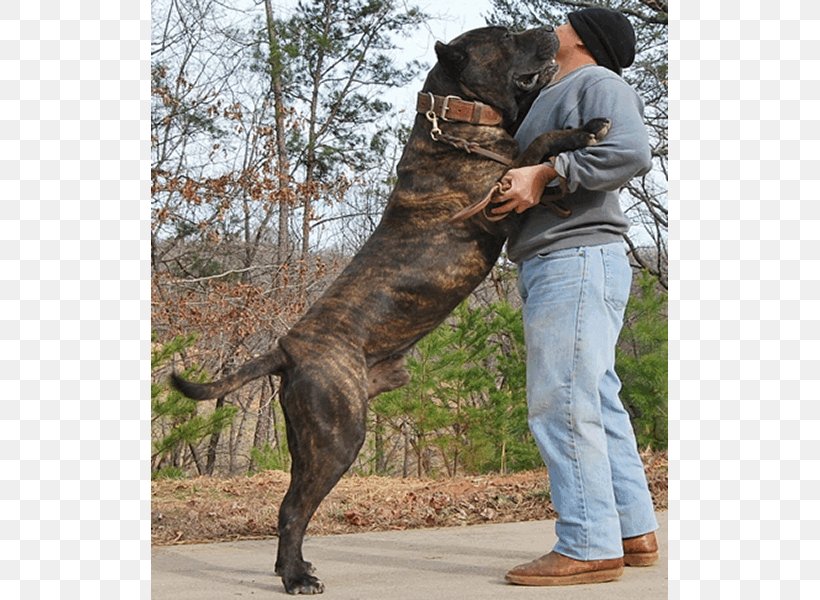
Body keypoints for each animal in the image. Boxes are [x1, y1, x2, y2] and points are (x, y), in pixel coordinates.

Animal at [171, 25, 608, 592]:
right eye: (507, 37)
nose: (547, 28)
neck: (458, 121)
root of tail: (287, 349)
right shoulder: (496, 199)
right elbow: (536, 146)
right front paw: (581, 132)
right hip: (339, 435)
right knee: (292, 509)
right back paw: (296, 577)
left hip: (307, 438)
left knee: (295, 502)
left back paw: (297, 567)